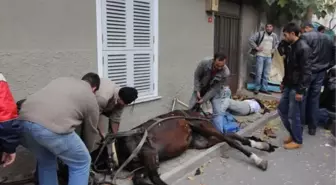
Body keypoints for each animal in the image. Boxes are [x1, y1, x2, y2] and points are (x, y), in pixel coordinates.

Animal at [90, 109, 278, 184]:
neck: (116, 149)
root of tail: (197, 112)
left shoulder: (150, 154)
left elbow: (155, 178)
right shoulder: (143, 166)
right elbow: (139, 178)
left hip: (202, 127)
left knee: (230, 140)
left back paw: (258, 159)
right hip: (203, 141)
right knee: (230, 137)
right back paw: (262, 145)